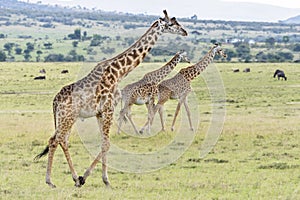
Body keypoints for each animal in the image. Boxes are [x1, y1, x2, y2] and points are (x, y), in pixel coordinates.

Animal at [35, 9, 188, 188]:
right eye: (172, 24)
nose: (185, 32)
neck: (118, 72)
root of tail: (55, 101)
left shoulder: (100, 113)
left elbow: (103, 143)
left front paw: (95, 178)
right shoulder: (109, 108)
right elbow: (107, 144)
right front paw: (96, 178)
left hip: (66, 118)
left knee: (62, 140)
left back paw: (73, 178)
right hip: (68, 117)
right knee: (54, 140)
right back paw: (50, 181)